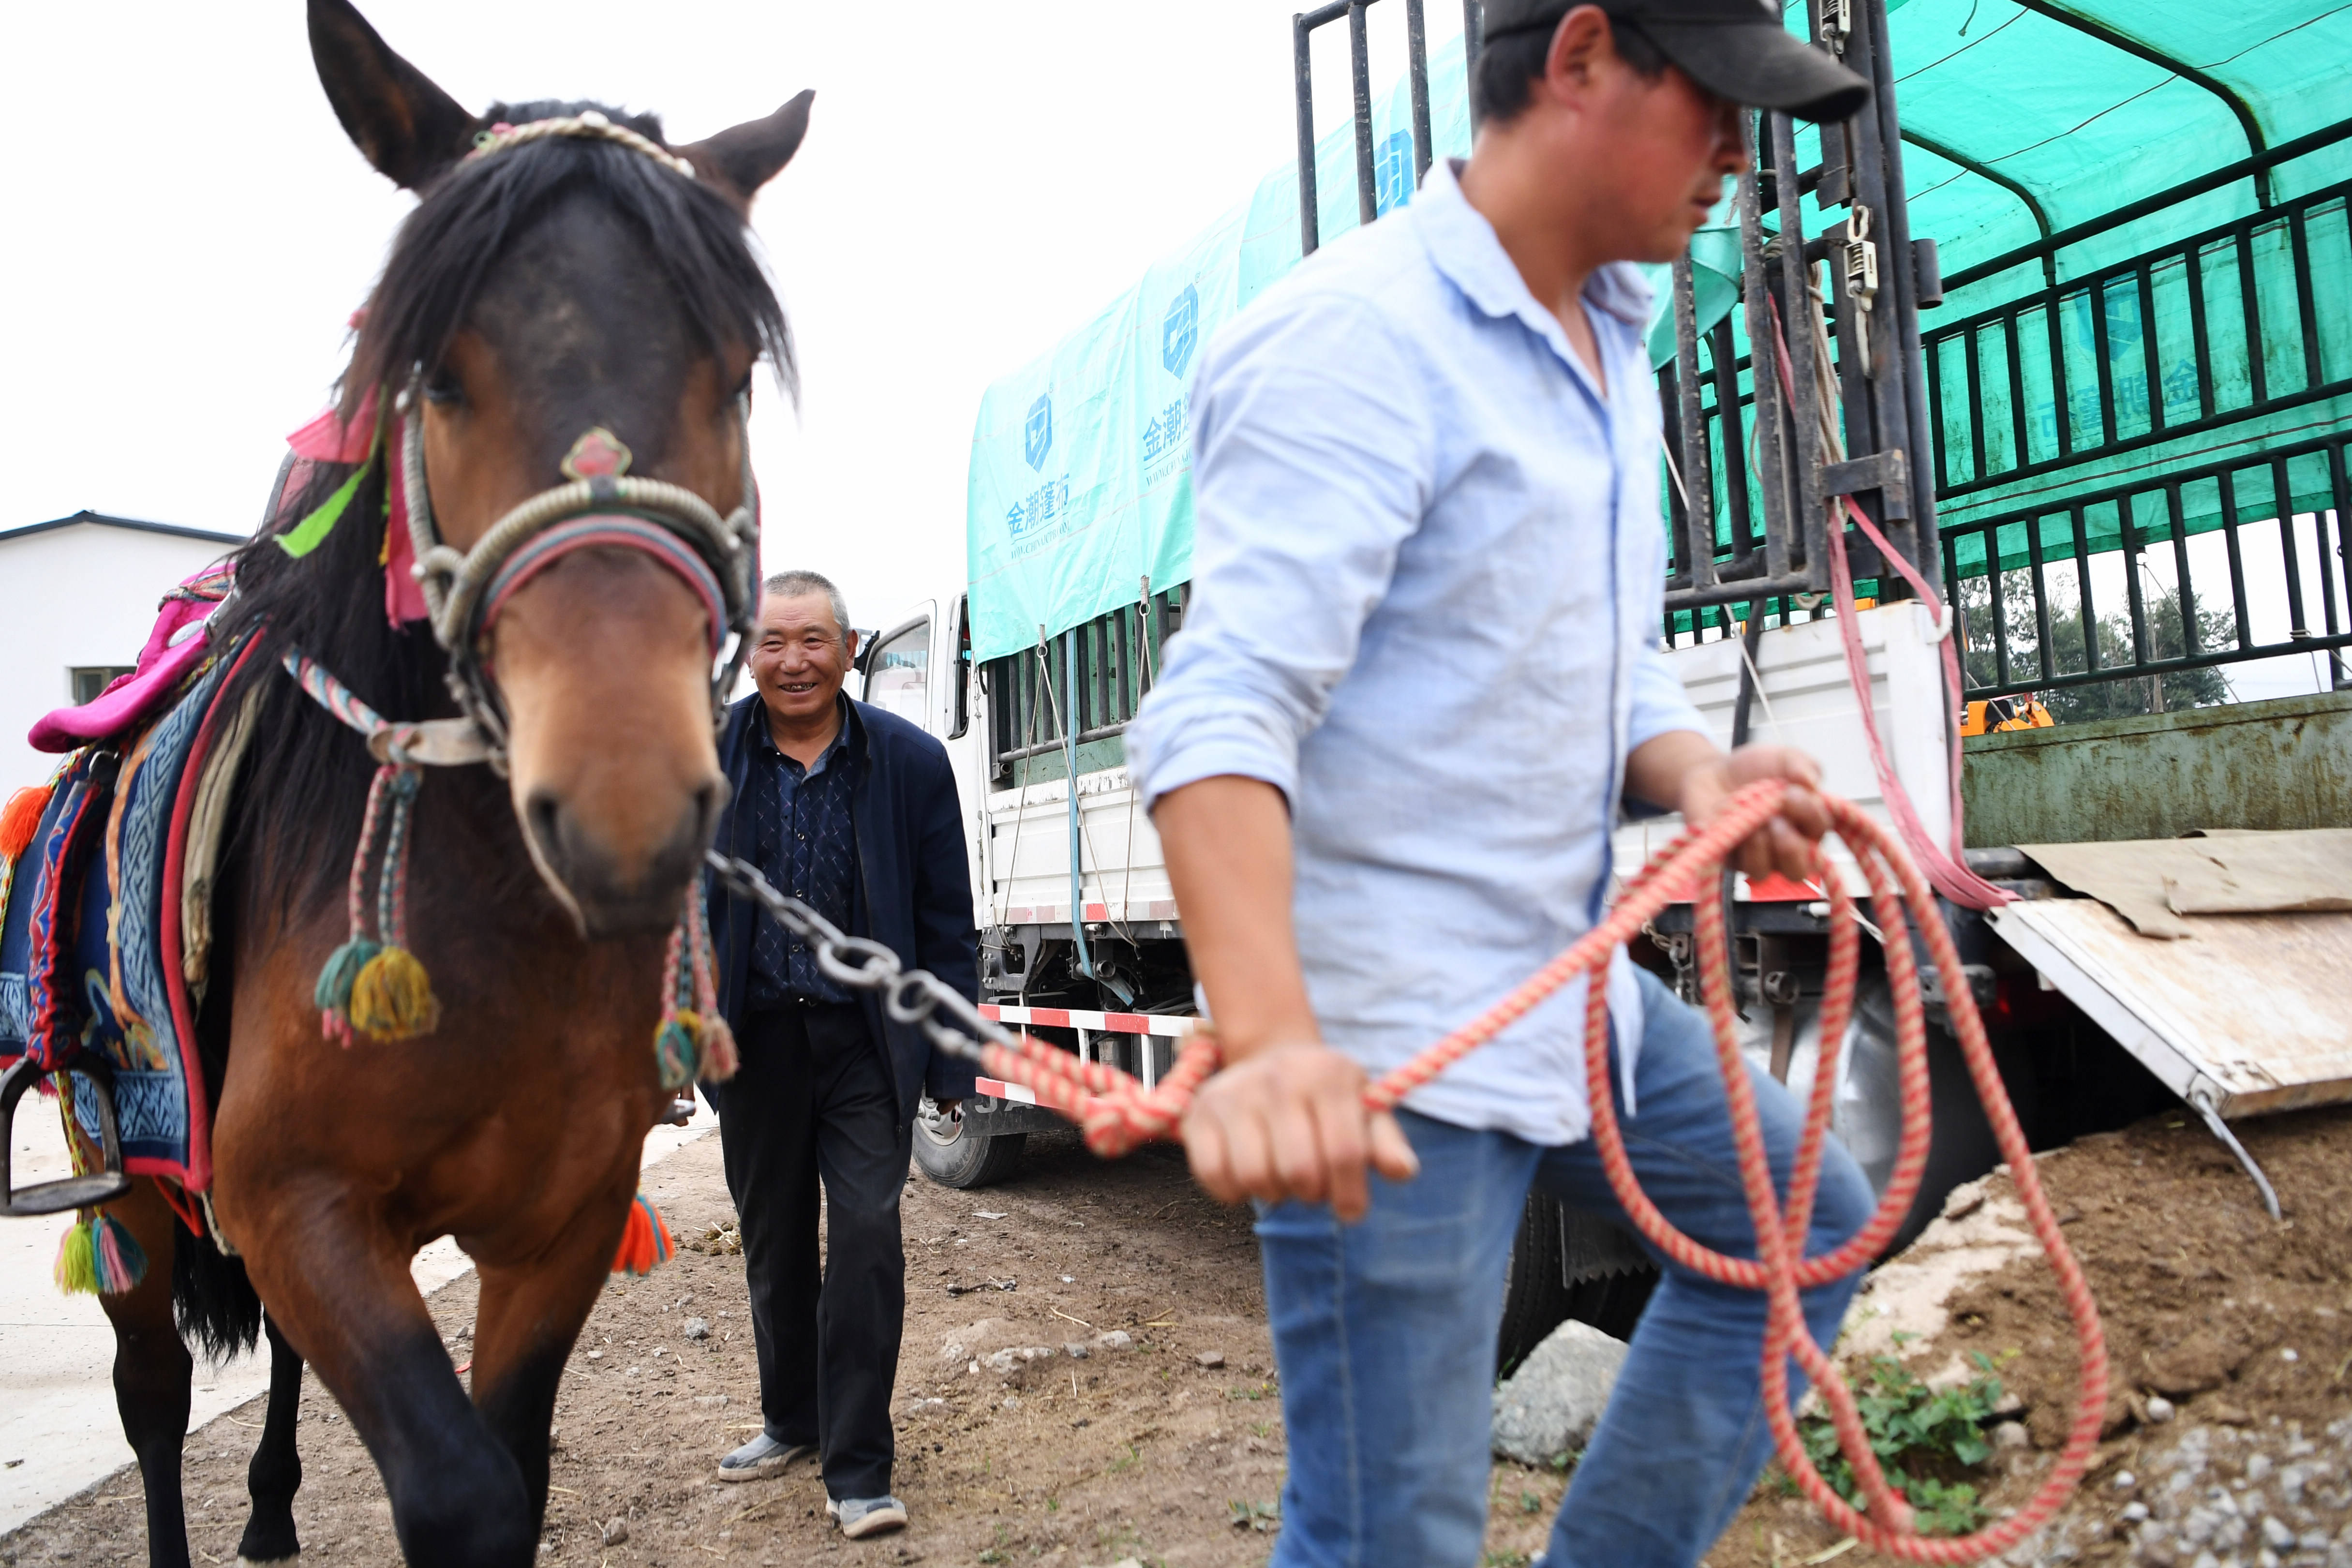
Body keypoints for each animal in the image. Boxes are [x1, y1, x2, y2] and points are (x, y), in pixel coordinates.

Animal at [62, 6, 809, 1561]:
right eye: (444, 376)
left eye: (730, 377)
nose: (623, 809)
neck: (499, 933)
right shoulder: (293, 1202)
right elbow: (460, 1490)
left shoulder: (564, 1213)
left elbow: (512, 1469)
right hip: (129, 1194)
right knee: (151, 1397)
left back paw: (271, 1509)